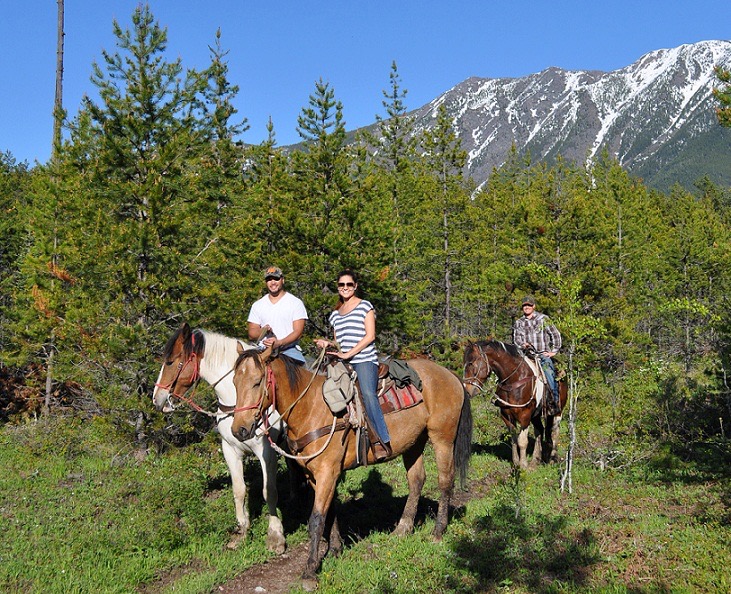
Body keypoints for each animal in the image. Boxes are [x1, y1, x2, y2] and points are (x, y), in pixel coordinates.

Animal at [153, 322, 288, 552]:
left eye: (170, 361)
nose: (156, 398)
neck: (236, 402)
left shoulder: (267, 452)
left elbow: (268, 490)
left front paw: (276, 535)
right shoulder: (230, 450)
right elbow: (239, 490)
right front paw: (241, 531)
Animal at [230, 344, 474, 584]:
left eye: (257, 381)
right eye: (234, 382)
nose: (239, 430)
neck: (311, 408)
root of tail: (450, 375)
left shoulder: (327, 472)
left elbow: (316, 519)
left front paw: (310, 569)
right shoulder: (317, 475)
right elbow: (330, 512)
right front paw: (335, 550)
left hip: (442, 438)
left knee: (445, 481)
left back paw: (438, 530)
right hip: (414, 442)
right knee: (416, 480)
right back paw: (403, 528)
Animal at [464, 340, 568, 470]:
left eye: (471, 363)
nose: (467, 390)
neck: (514, 379)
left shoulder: (525, 415)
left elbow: (522, 441)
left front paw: (523, 465)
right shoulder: (506, 415)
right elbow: (514, 439)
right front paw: (516, 463)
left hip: (558, 411)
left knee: (554, 431)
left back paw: (553, 458)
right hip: (536, 415)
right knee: (540, 430)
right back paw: (535, 460)